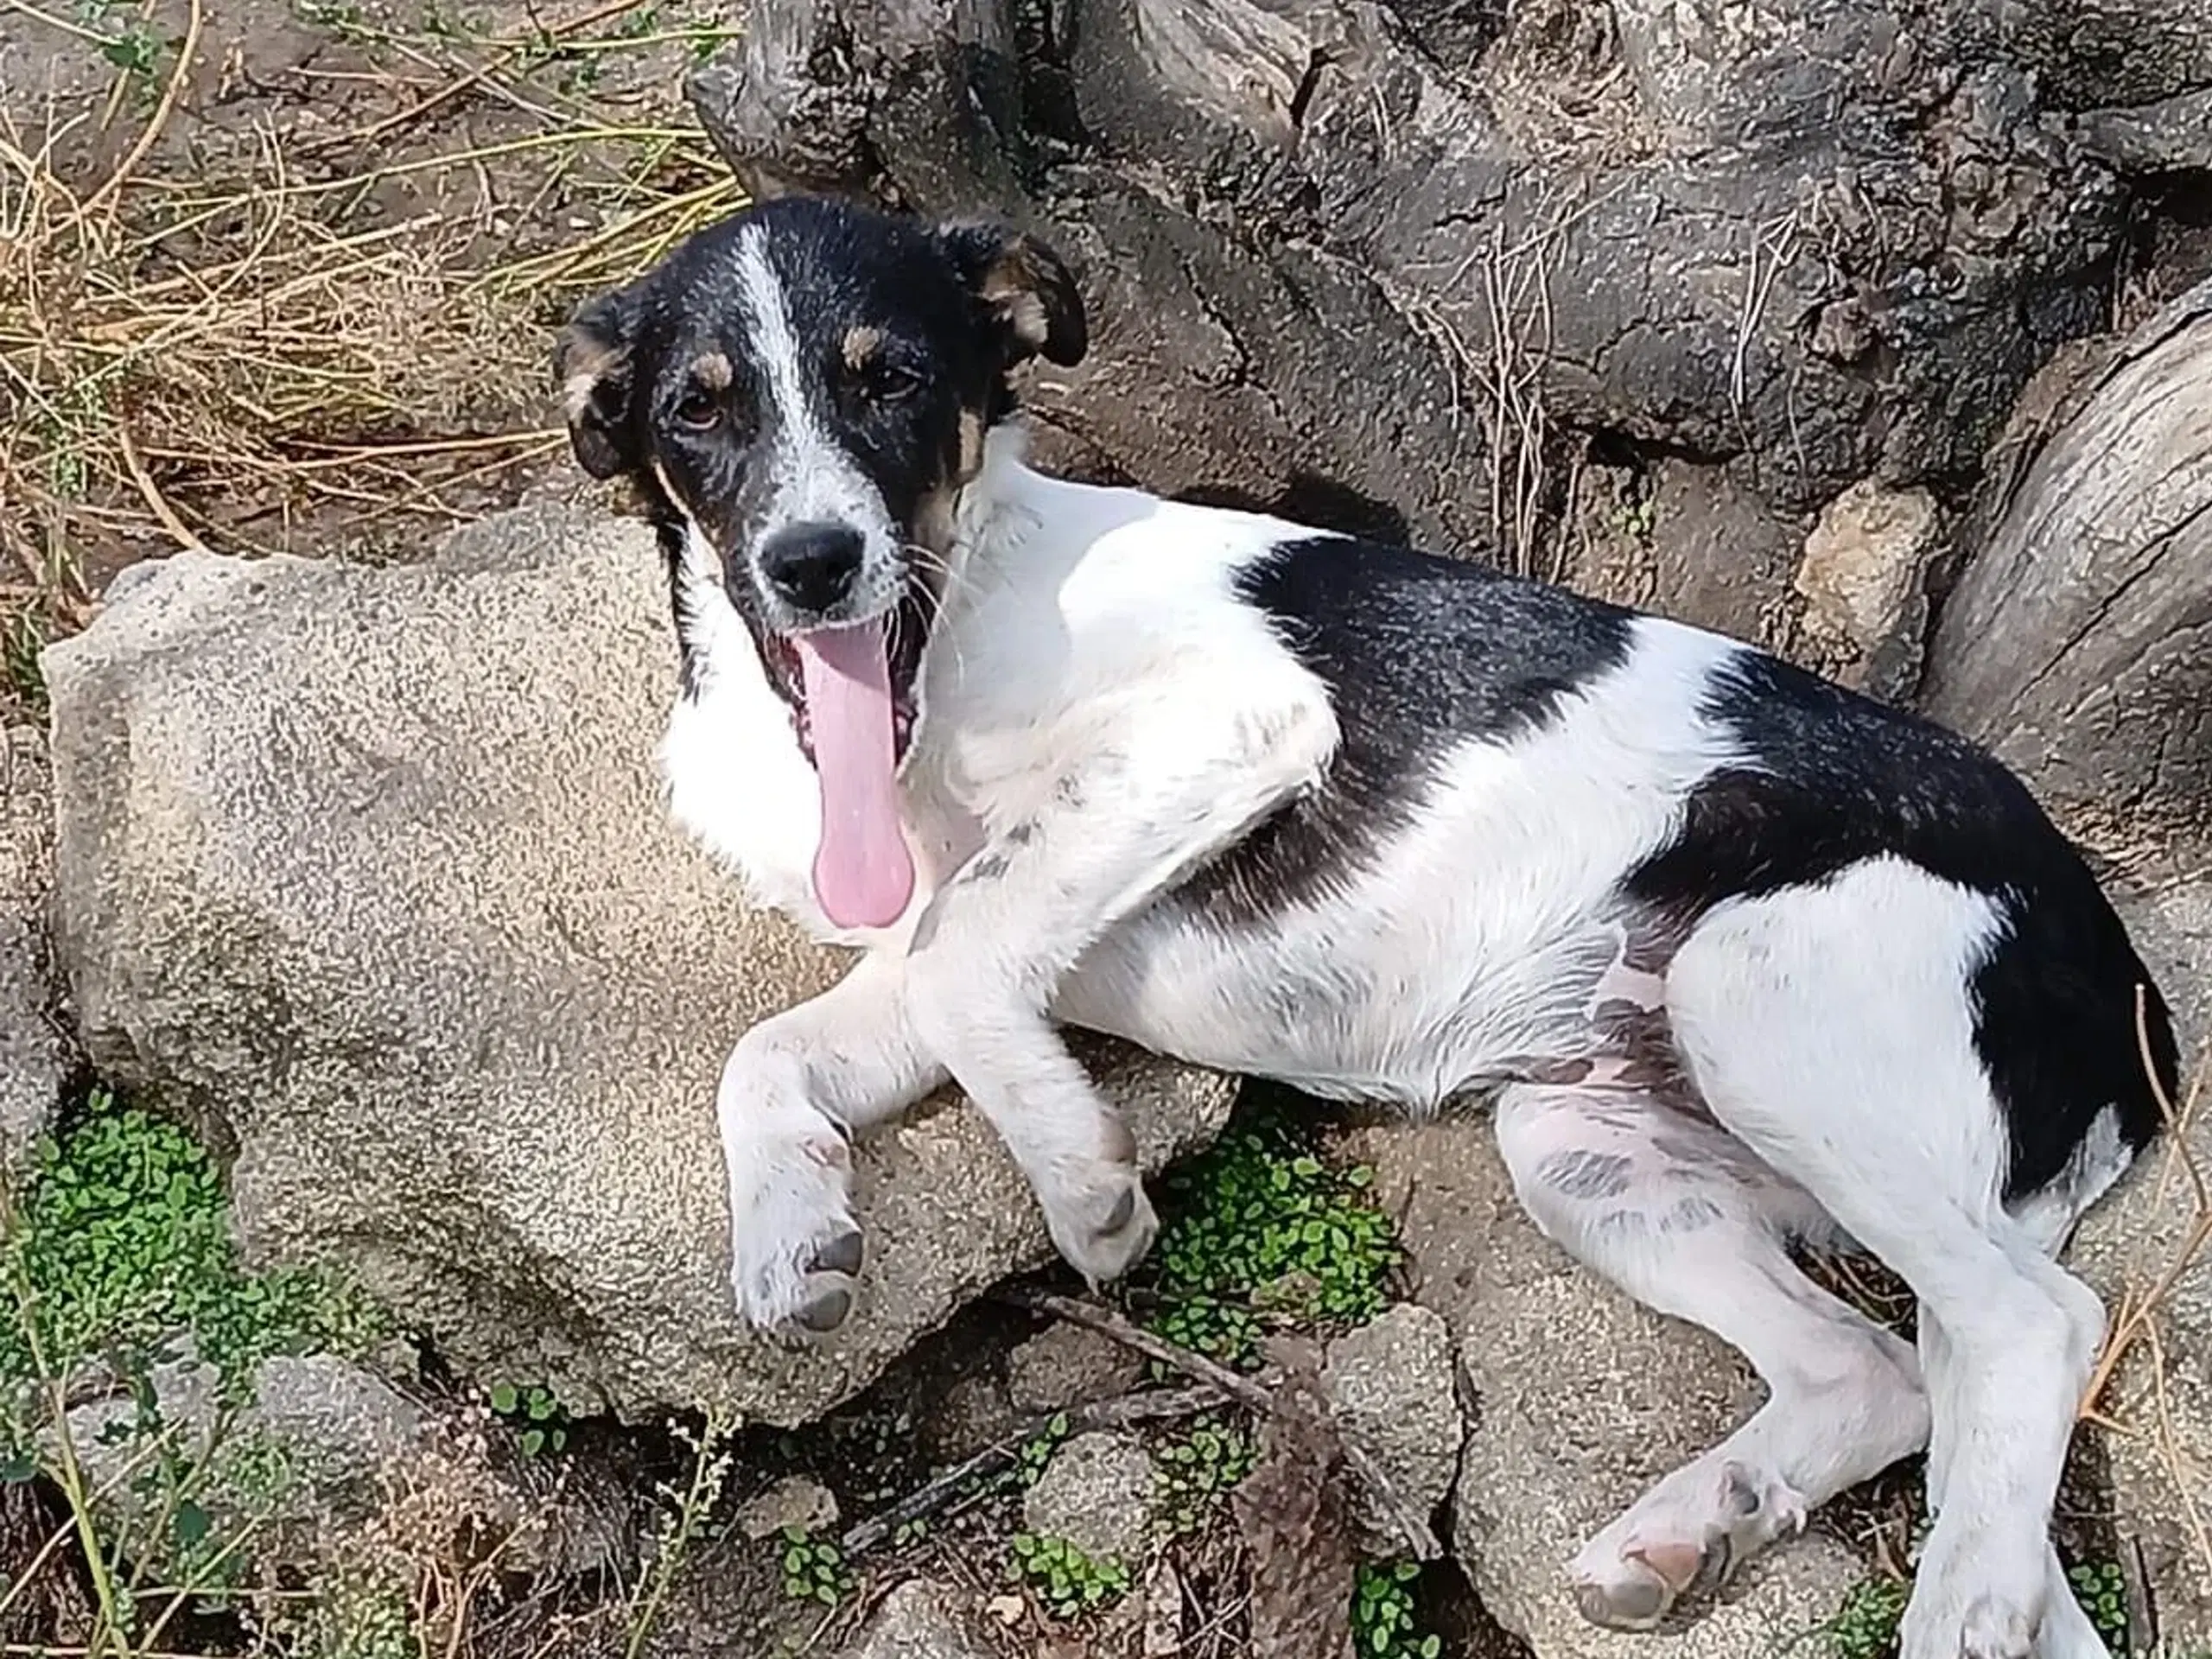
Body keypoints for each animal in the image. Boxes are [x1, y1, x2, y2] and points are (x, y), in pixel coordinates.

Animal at [553, 198, 2177, 1659]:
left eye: (890, 377)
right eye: (698, 410)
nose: (813, 562)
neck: (948, 635)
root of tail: (2122, 974)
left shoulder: (1235, 722)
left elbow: (966, 958)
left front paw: (1081, 1181)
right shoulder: (927, 949)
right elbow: (773, 1049)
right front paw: (791, 1237)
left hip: (1759, 993)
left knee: (2030, 1330)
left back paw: (1955, 1610)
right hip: (1589, 1147)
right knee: (1881, 1372)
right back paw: (1690, 1531)